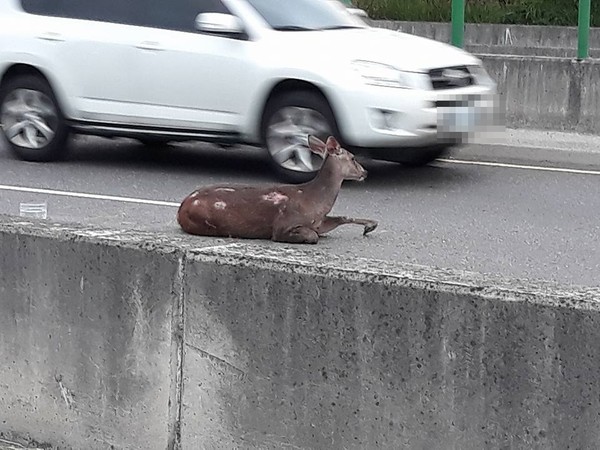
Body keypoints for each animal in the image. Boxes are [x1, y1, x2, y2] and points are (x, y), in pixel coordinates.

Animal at [176, 135, 378, 244]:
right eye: (353, 158)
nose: (365, 172)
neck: (314, 201)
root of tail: (181, 209)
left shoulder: (319, 222)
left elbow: (341, 218)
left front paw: (370, 225)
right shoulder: (285, 224)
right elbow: (312, 236)